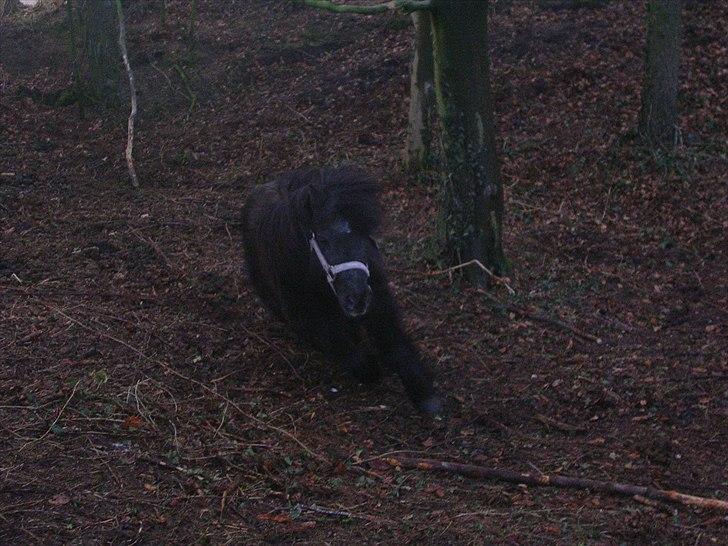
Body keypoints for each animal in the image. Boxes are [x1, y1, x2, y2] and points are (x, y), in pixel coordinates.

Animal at [242, 164, 440, 414]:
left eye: (364, 234)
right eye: (324, 241)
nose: (358, 298)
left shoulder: (378, 299)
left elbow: (395, 343)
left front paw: (425, 396)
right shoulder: (306, 315)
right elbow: (347, 350)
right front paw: (372, 369)